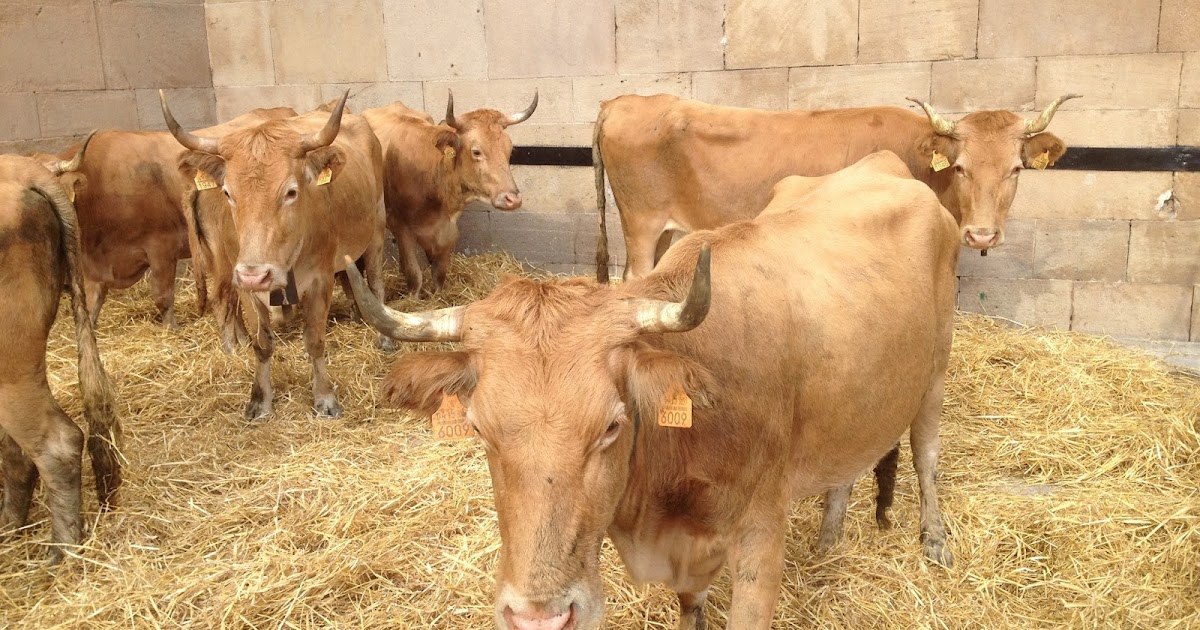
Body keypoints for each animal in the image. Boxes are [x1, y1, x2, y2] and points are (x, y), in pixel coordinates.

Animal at [160, 90, 389, 419]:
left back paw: (385, 336)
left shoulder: (320, 281)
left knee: (377, 283)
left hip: (377, 231)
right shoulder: (247, 287)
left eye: (291, 191)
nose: (257, 274)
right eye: (228, 192)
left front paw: (325, 398)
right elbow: (262, 344)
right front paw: (260, 398)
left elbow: (315, 340)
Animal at [346, 151, 959, 629]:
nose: (538, 618)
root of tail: (883, 164)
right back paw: (830, 537)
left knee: (926, 451)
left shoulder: (760, 538)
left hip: (935, 370)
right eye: (479, 428)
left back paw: (934, 538)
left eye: (612, 425)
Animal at [362, 90, 537, 296]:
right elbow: (415, 275)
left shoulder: (448, 231)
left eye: (509, 149)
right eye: (476, 151)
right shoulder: (401, 225)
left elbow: (439, 274)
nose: (513, 199)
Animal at [594, 93, 1078, 282]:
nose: (981, 235)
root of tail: (625, 100)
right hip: (642, 223)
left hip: (667, 230)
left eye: (1016, 169)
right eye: (960, 168)